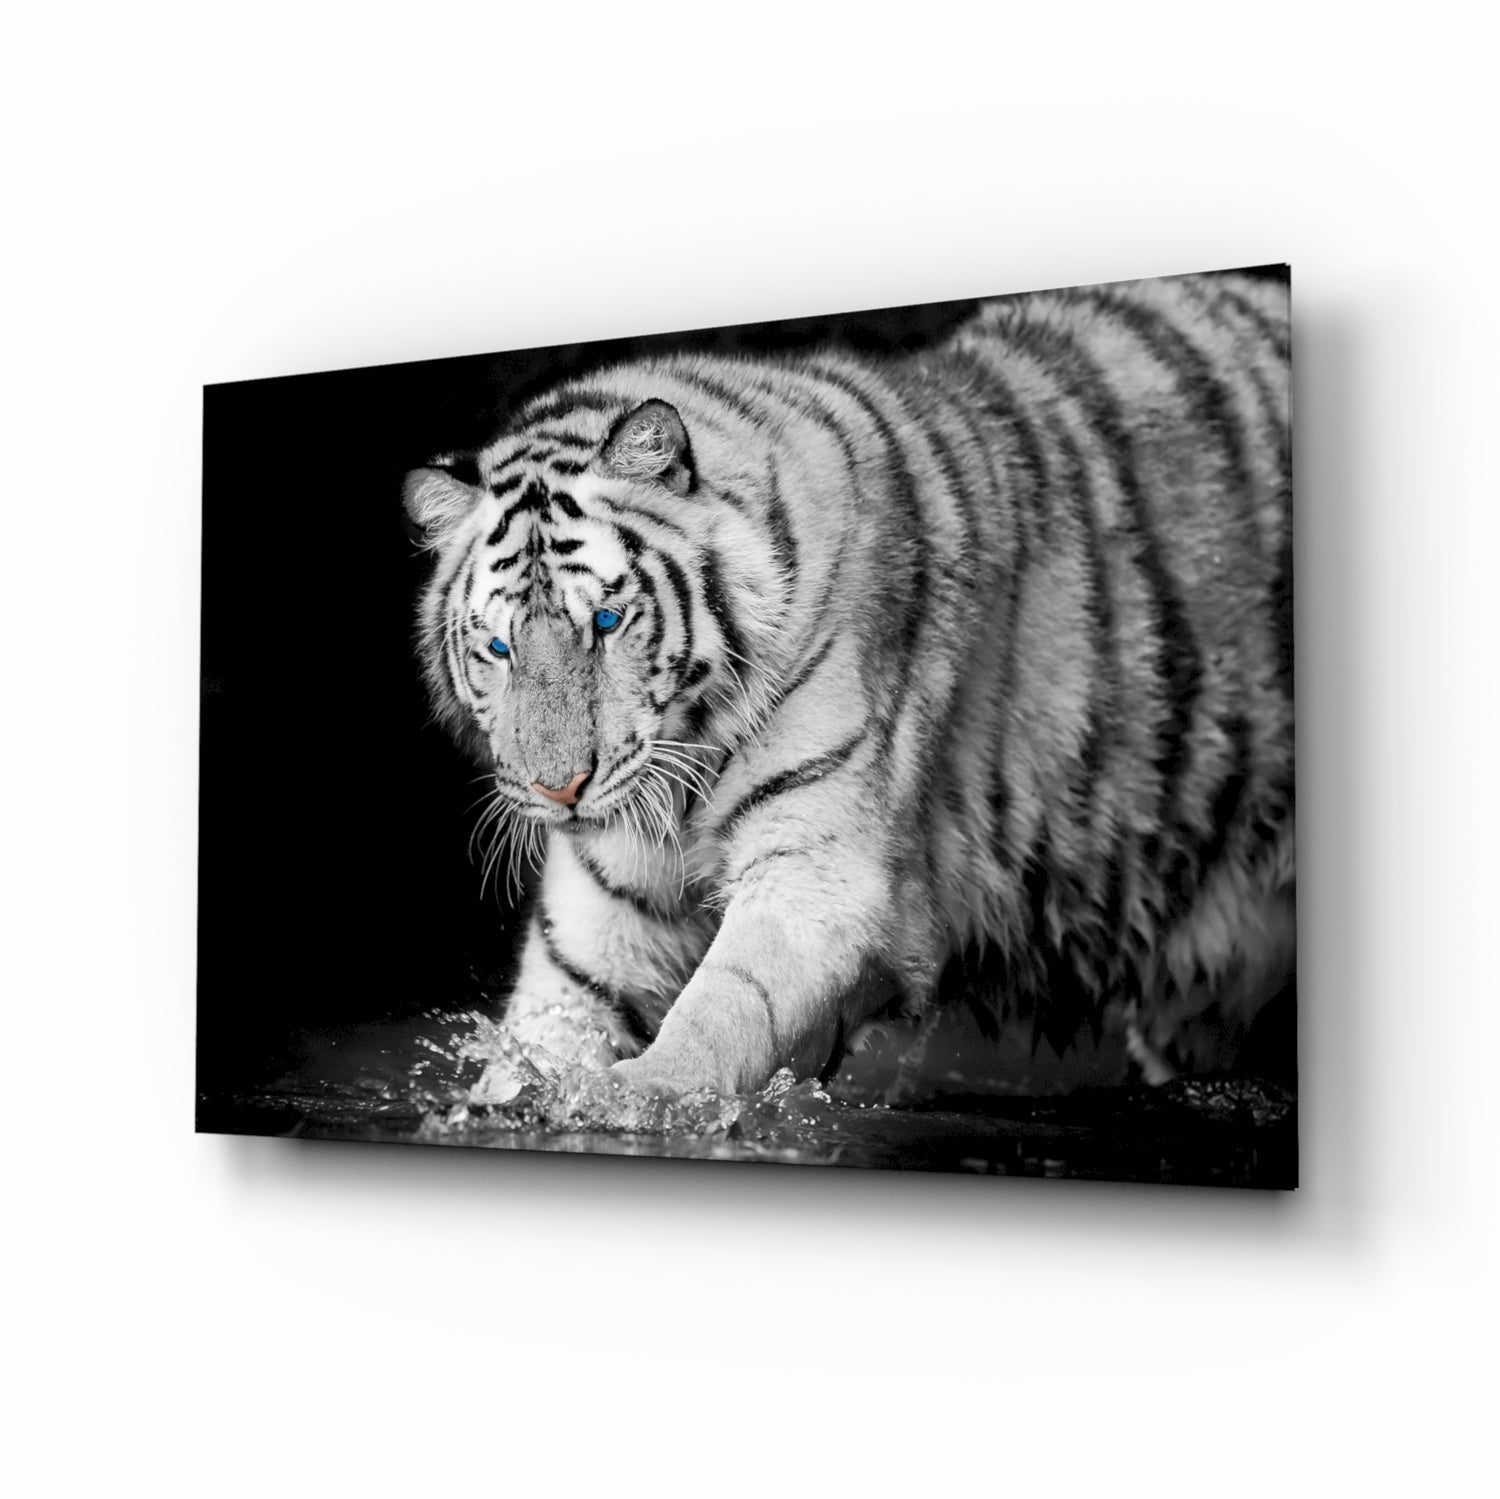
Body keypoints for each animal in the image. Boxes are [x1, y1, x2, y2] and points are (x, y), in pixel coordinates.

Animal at [403, 269, 1294, 1104]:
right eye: (498, 647)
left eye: (609, 621)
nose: (560, 789)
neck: (684, 765)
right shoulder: (600, 910)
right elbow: (547, 1026)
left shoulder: (821, 874)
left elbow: (724, 1006)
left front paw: (645, 1093)